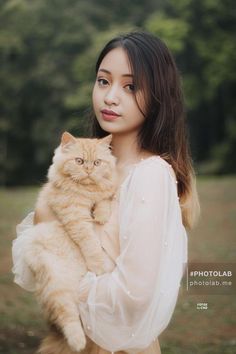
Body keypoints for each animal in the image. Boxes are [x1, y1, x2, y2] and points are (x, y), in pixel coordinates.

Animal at [24, 132, 116, 352]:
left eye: (97, 162)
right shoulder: (75, 218)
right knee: (67, 316)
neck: (86, 191)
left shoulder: (103, 193)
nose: (89, 170)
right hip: (57, 284)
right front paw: (98, 265)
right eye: (79, 161)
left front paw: (101, 216)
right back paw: (78, 342)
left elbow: (104, 199)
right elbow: (90, 243)